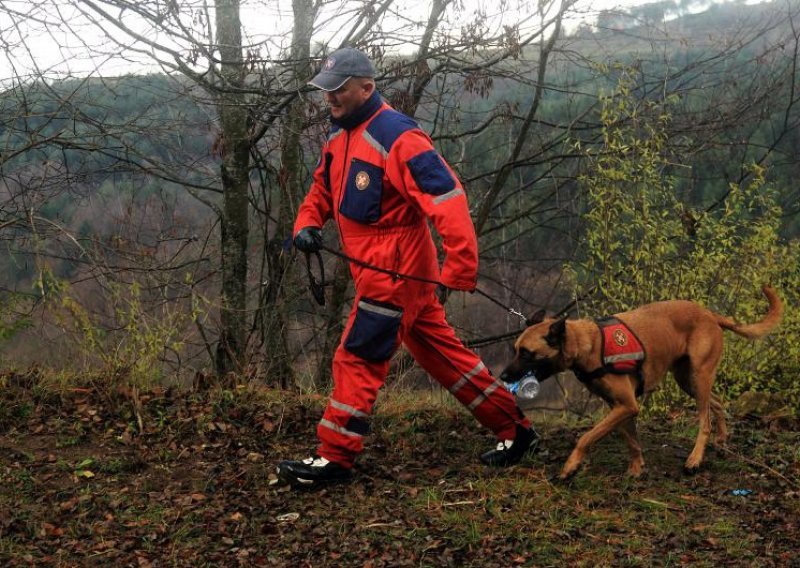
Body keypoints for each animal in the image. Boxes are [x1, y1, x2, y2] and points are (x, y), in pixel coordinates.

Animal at [504, 286, 784, 478]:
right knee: (716, 402)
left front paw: (570, 466)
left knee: (705, 421)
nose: (504, 376)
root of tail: (709, 314)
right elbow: (631, 439)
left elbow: (587, 436)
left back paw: (695, 459)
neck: (589, 343)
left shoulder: (626, 405)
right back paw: (722, 438)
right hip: (688, 380)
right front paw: (637, 467)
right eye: (515, 350)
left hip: (699, 376)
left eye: (526, 353)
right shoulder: (620, 406)